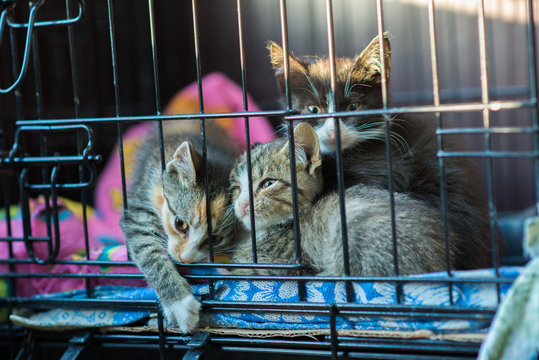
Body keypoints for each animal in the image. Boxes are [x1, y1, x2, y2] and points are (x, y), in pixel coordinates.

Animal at [123, 122, 242, 334]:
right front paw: (180, 305)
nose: (185, 258)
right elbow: (147, 250)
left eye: (214, 239)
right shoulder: (141, 198)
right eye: (180, 224)